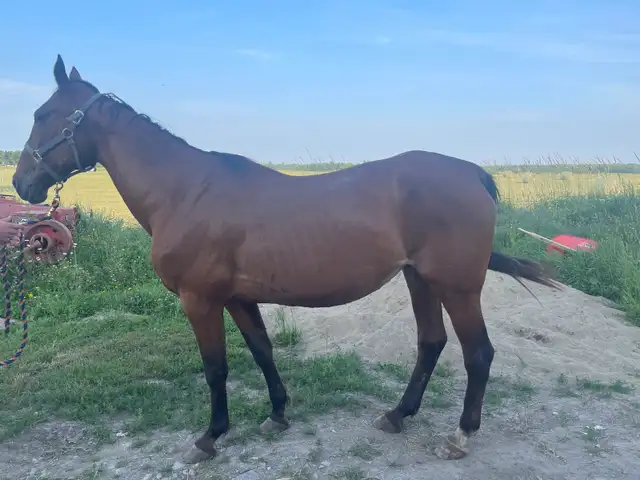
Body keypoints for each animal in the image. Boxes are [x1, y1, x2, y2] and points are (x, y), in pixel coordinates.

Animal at [12, 55, 561, 464]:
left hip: (457, 286)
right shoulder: (237, 296)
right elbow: (262, 350)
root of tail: (472, 174)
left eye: (42, 115)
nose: (21, 183)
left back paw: (461, 435)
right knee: (431, 344)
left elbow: (216, 367)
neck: (185, 192)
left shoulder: (199, 300)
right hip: (419, 279)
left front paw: (209, 438)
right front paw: (277, 414)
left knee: (478, 354)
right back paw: (397, 415)